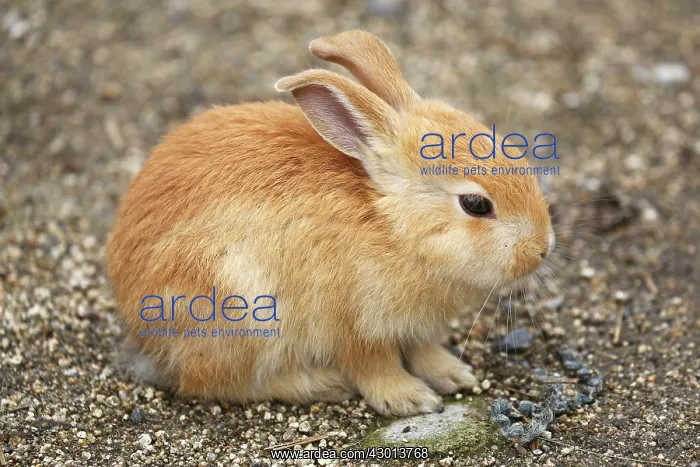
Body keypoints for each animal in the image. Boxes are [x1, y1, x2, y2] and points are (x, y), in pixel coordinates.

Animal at [105, 30, 555, 416]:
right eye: (476, 204)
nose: (542, 248)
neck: (392, 226)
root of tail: (138, 324)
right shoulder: (354, 325)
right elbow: (374, 365)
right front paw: (410, 399)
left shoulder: (416, 328)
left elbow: (425, 350)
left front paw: (455, 376)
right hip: (238, 312)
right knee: (214, 383)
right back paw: (322, 384)